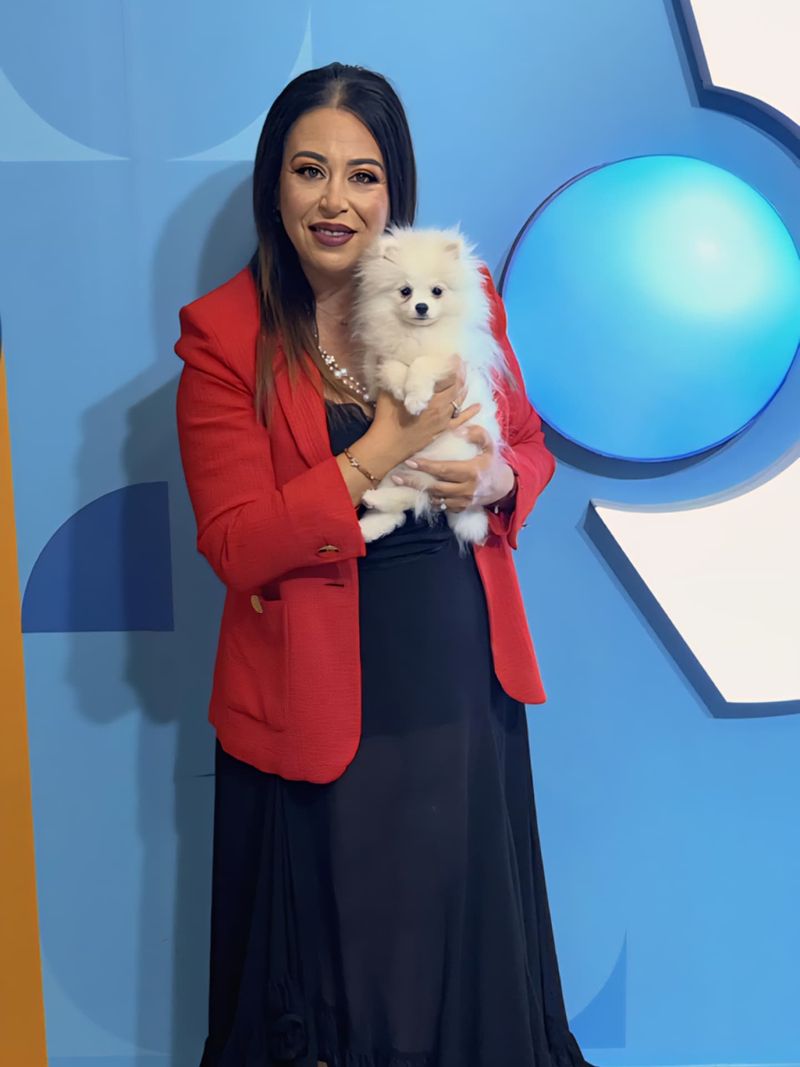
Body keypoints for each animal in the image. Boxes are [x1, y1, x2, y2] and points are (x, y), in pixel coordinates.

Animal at [351, 225, 506, 548]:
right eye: (405, 291)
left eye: (437, 291)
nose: (421, 307)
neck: (416, 334)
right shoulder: (378, 360)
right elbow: (392, 367)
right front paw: (401, 388)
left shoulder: (448, 358)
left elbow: (423, 363)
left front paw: (415, 399)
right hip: (392, 466)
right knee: (400, 508)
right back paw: (369, 519)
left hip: (443, 462)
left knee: (415, 495)